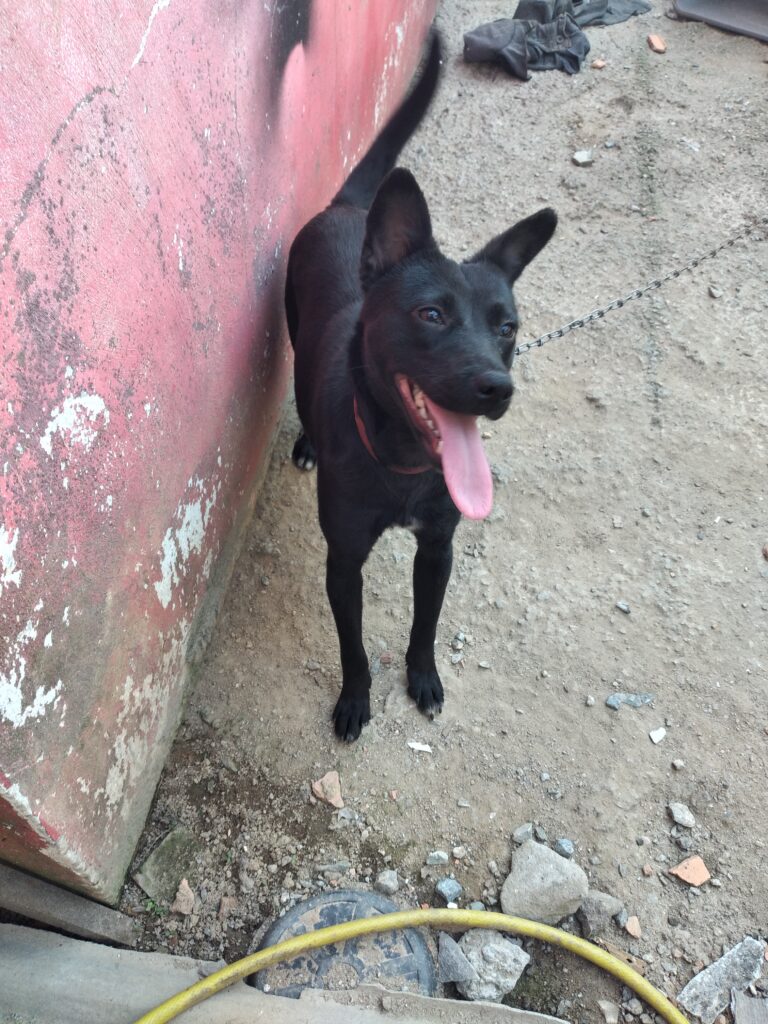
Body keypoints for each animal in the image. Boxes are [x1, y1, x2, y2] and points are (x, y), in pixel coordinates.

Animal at [286, 29, 557, 737]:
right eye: (431, 314)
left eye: (508, 328)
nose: (497, 387)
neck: (402, 460)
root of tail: (352, 206)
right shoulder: (343, 560)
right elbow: (353, 647)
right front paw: (355, 701)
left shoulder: (438, 547)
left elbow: (425, 626)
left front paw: (423, 679)